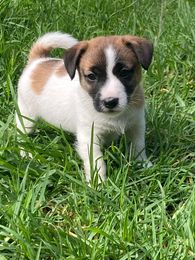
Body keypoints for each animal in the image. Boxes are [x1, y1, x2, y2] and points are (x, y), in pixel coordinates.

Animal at [16, 31, 154, 182]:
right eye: (91, 76)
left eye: (124, 72)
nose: (110, 101)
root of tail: (37, 61)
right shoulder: (89, 137)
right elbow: (97, 162)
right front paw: (98, 183)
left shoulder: (136, 125)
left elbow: (138, 146)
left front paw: (143, 164)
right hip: (26, 116)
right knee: (21, 135)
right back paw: (25, 153)